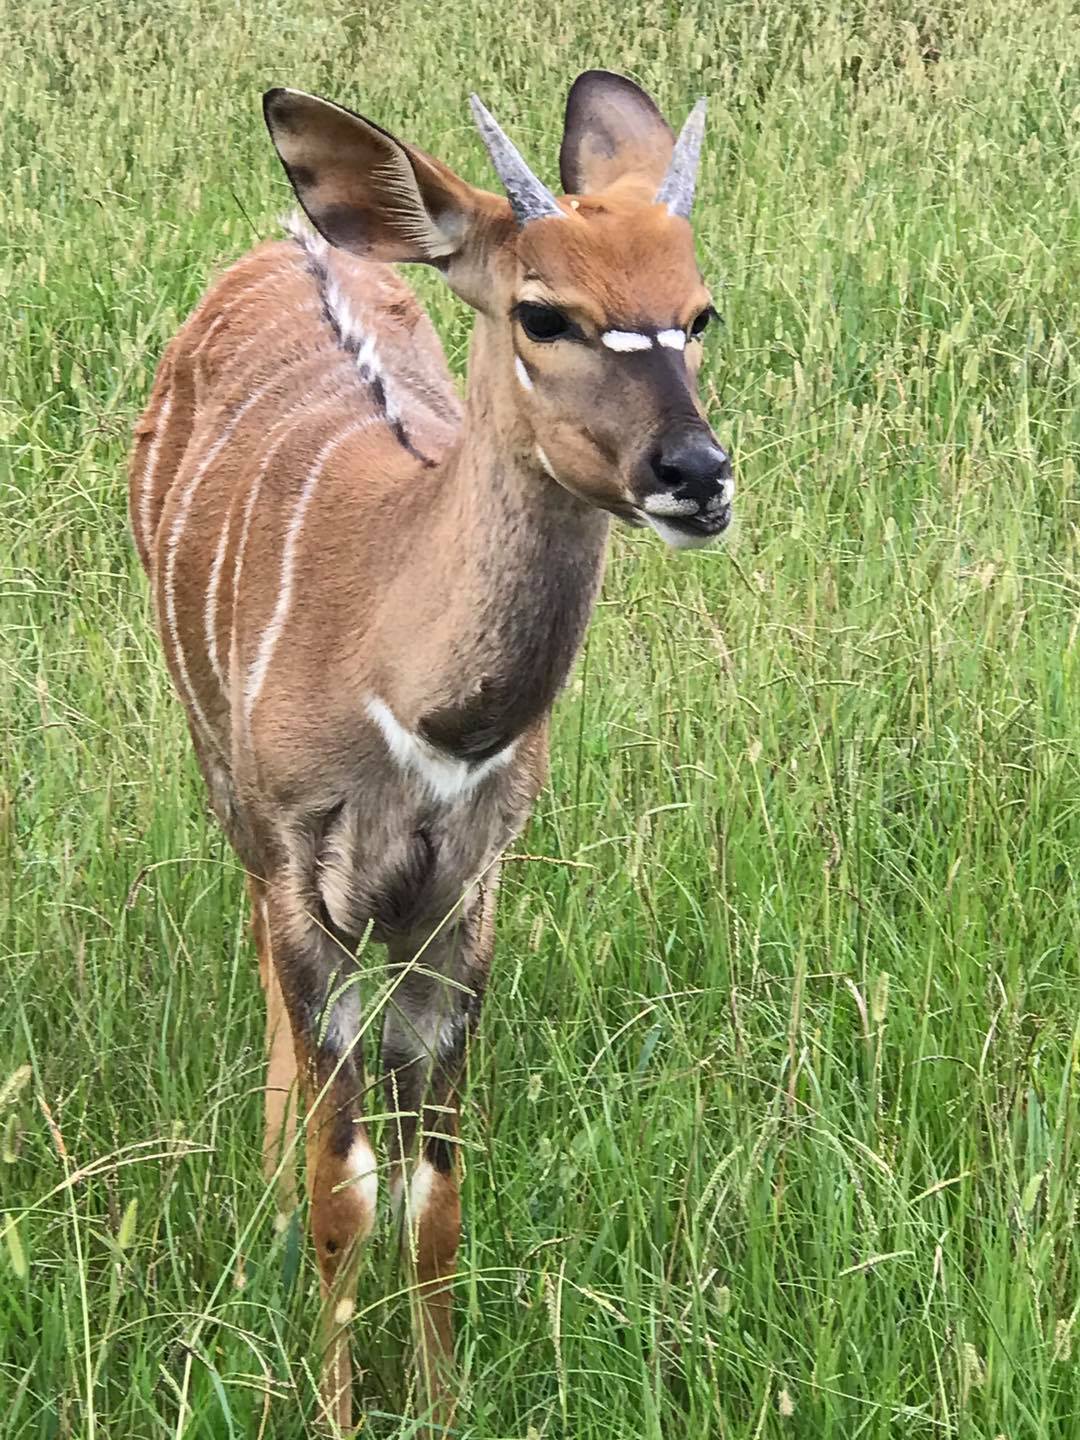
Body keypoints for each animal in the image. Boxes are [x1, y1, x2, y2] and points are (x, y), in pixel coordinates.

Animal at [126, 70, 737, 1428]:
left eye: (698, 310)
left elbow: (437, 1196)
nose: (697, 471)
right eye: (546, 312)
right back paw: (263, 1156)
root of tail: (297, 238)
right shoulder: (312, 872)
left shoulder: (464, 894)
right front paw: (340, 1408)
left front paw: (446, 1405)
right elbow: (343, 1194)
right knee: (260, 956)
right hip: (221, 773)